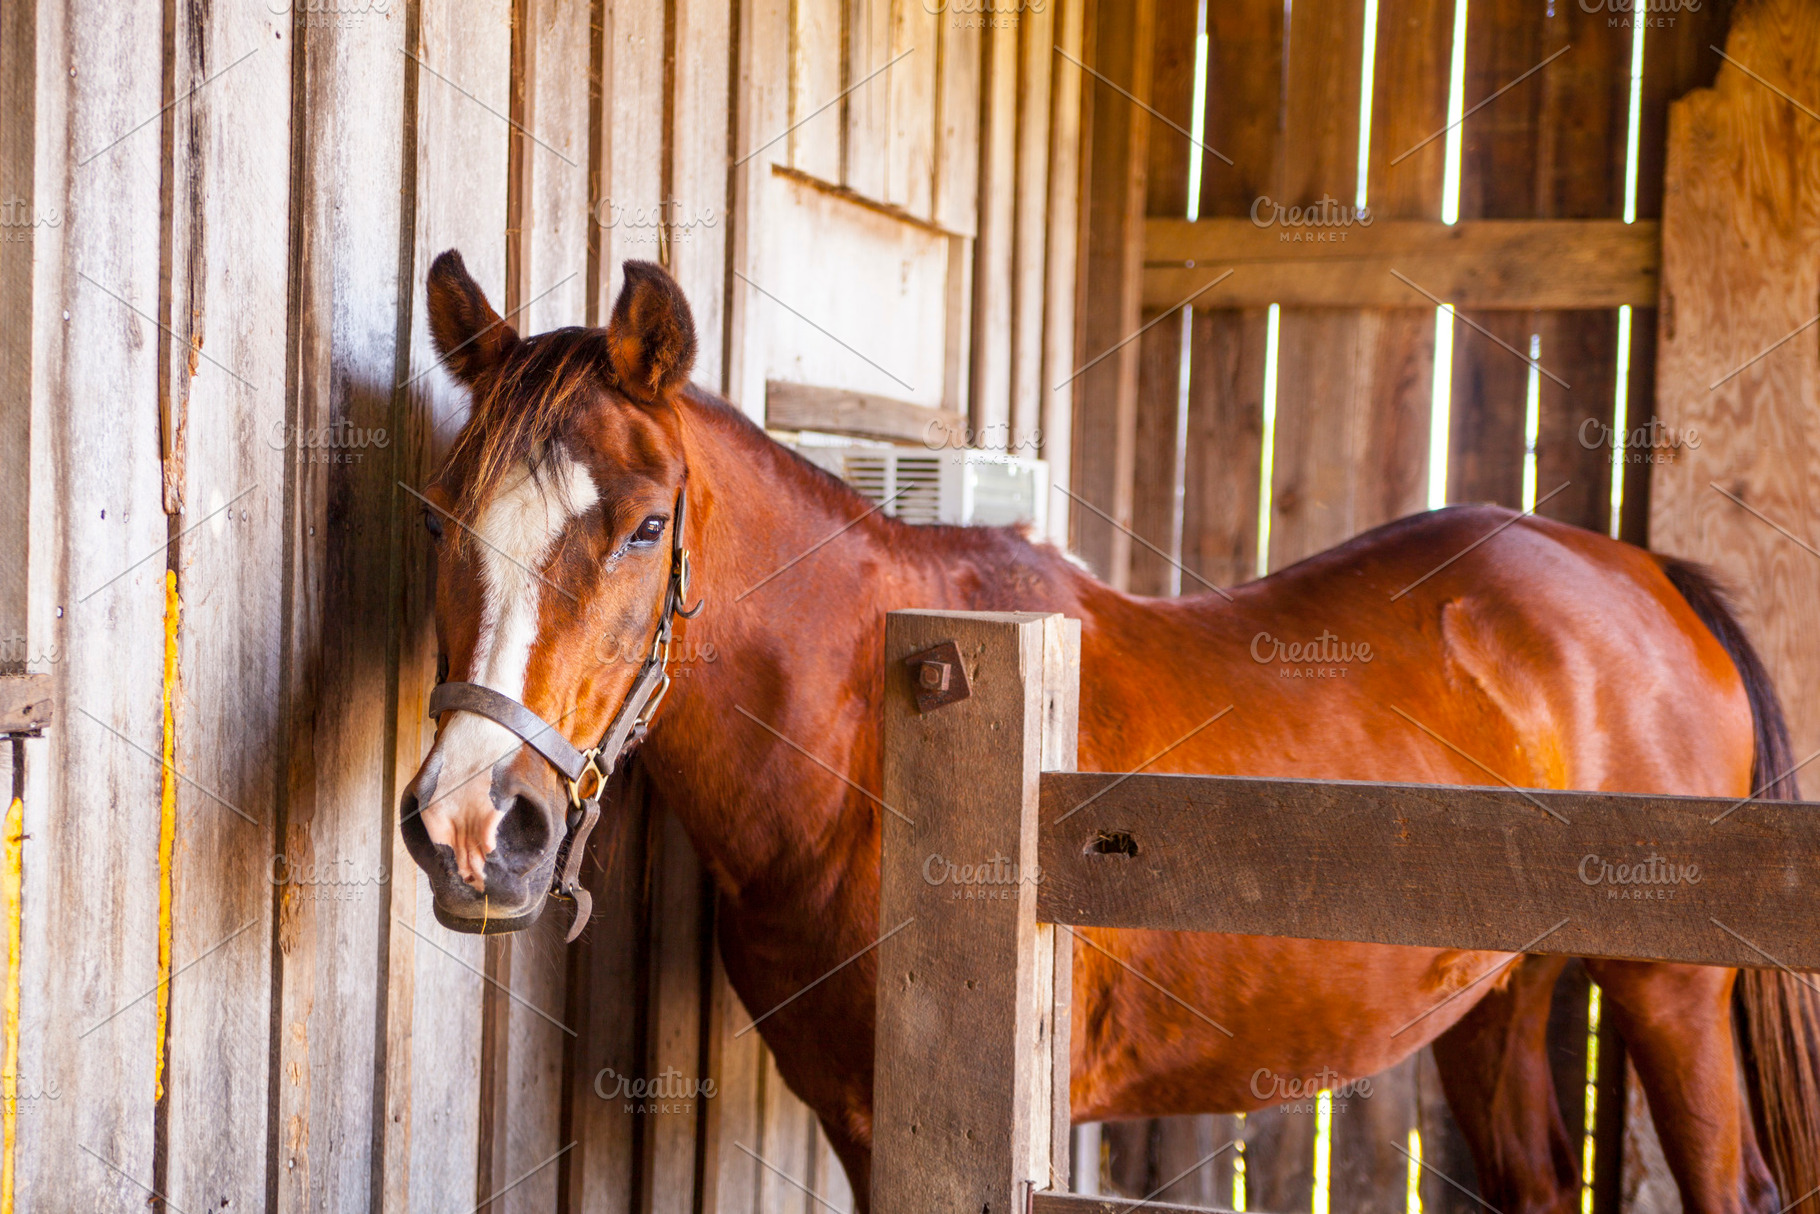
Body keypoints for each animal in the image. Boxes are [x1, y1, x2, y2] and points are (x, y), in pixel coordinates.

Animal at [398, 251, 1820, 1214]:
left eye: (646, 523)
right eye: (435, 515)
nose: (473, 825)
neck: (875, 731)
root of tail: (1642, 575)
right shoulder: (867, 1118)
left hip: (1666, 995)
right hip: (1496, 995)